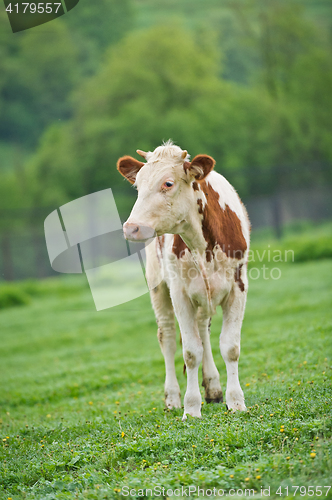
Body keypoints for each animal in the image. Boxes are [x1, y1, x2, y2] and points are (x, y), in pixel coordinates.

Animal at [116, 142, 249, 422]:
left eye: (168, 183)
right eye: (138, 185)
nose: (131, 227)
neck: (202, 243)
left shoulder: (239, 285)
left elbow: (230, 347)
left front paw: (235, 401)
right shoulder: (179, 292)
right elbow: (190, 352)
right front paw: (191, 407)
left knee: (202, 329)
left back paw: (213, 387)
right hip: (158, 287)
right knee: (167, 337)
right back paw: (173, 397)